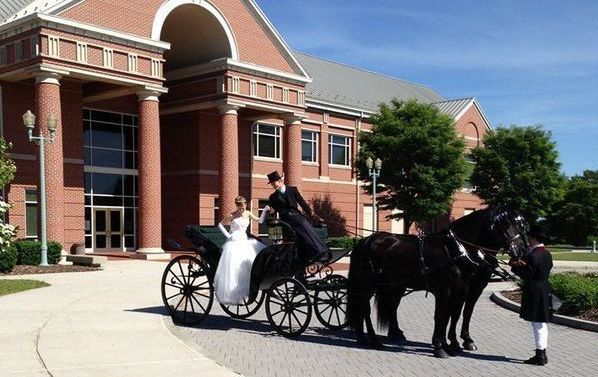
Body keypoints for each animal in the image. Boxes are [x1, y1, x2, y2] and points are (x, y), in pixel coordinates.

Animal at [346, 207, 528, 356]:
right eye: (505, 224)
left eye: (523, 226)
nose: (522, 251)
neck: (455, 249)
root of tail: (365, 241)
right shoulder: (446, 290)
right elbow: (442, 315)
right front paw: (442, 346)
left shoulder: (461, 289)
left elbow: (453, 315)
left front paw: (451, 343)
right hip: (368, 284)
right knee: (365, 308)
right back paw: (374, 339)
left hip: (394, 285)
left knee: (387, 307)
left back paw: (369, 336)